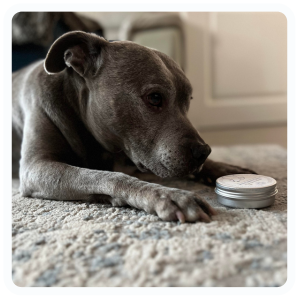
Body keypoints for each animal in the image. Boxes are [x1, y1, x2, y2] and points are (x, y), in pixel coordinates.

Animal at [12, 31, 255, 223]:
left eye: (189, 100)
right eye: (155, 98)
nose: (203, 152)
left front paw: (225, 169)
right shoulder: (37, 167)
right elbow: (108, 177)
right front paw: (170, 196)